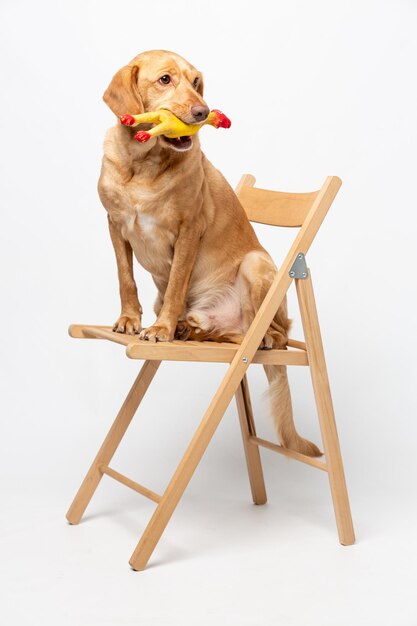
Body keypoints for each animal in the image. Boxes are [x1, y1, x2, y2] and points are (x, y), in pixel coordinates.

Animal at [96, 50, 318, 454]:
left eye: (196, 81)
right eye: (165, 79)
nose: (203, 111)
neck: (144, 161)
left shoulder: (188, 230)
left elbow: (177, 285)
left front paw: (162, 329)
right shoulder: (114, 225)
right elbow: (125, 278)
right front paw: (130, 320)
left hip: (256, 265)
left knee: (277, 333)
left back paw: (257, 336)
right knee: (219, 334)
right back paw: (190, 329)